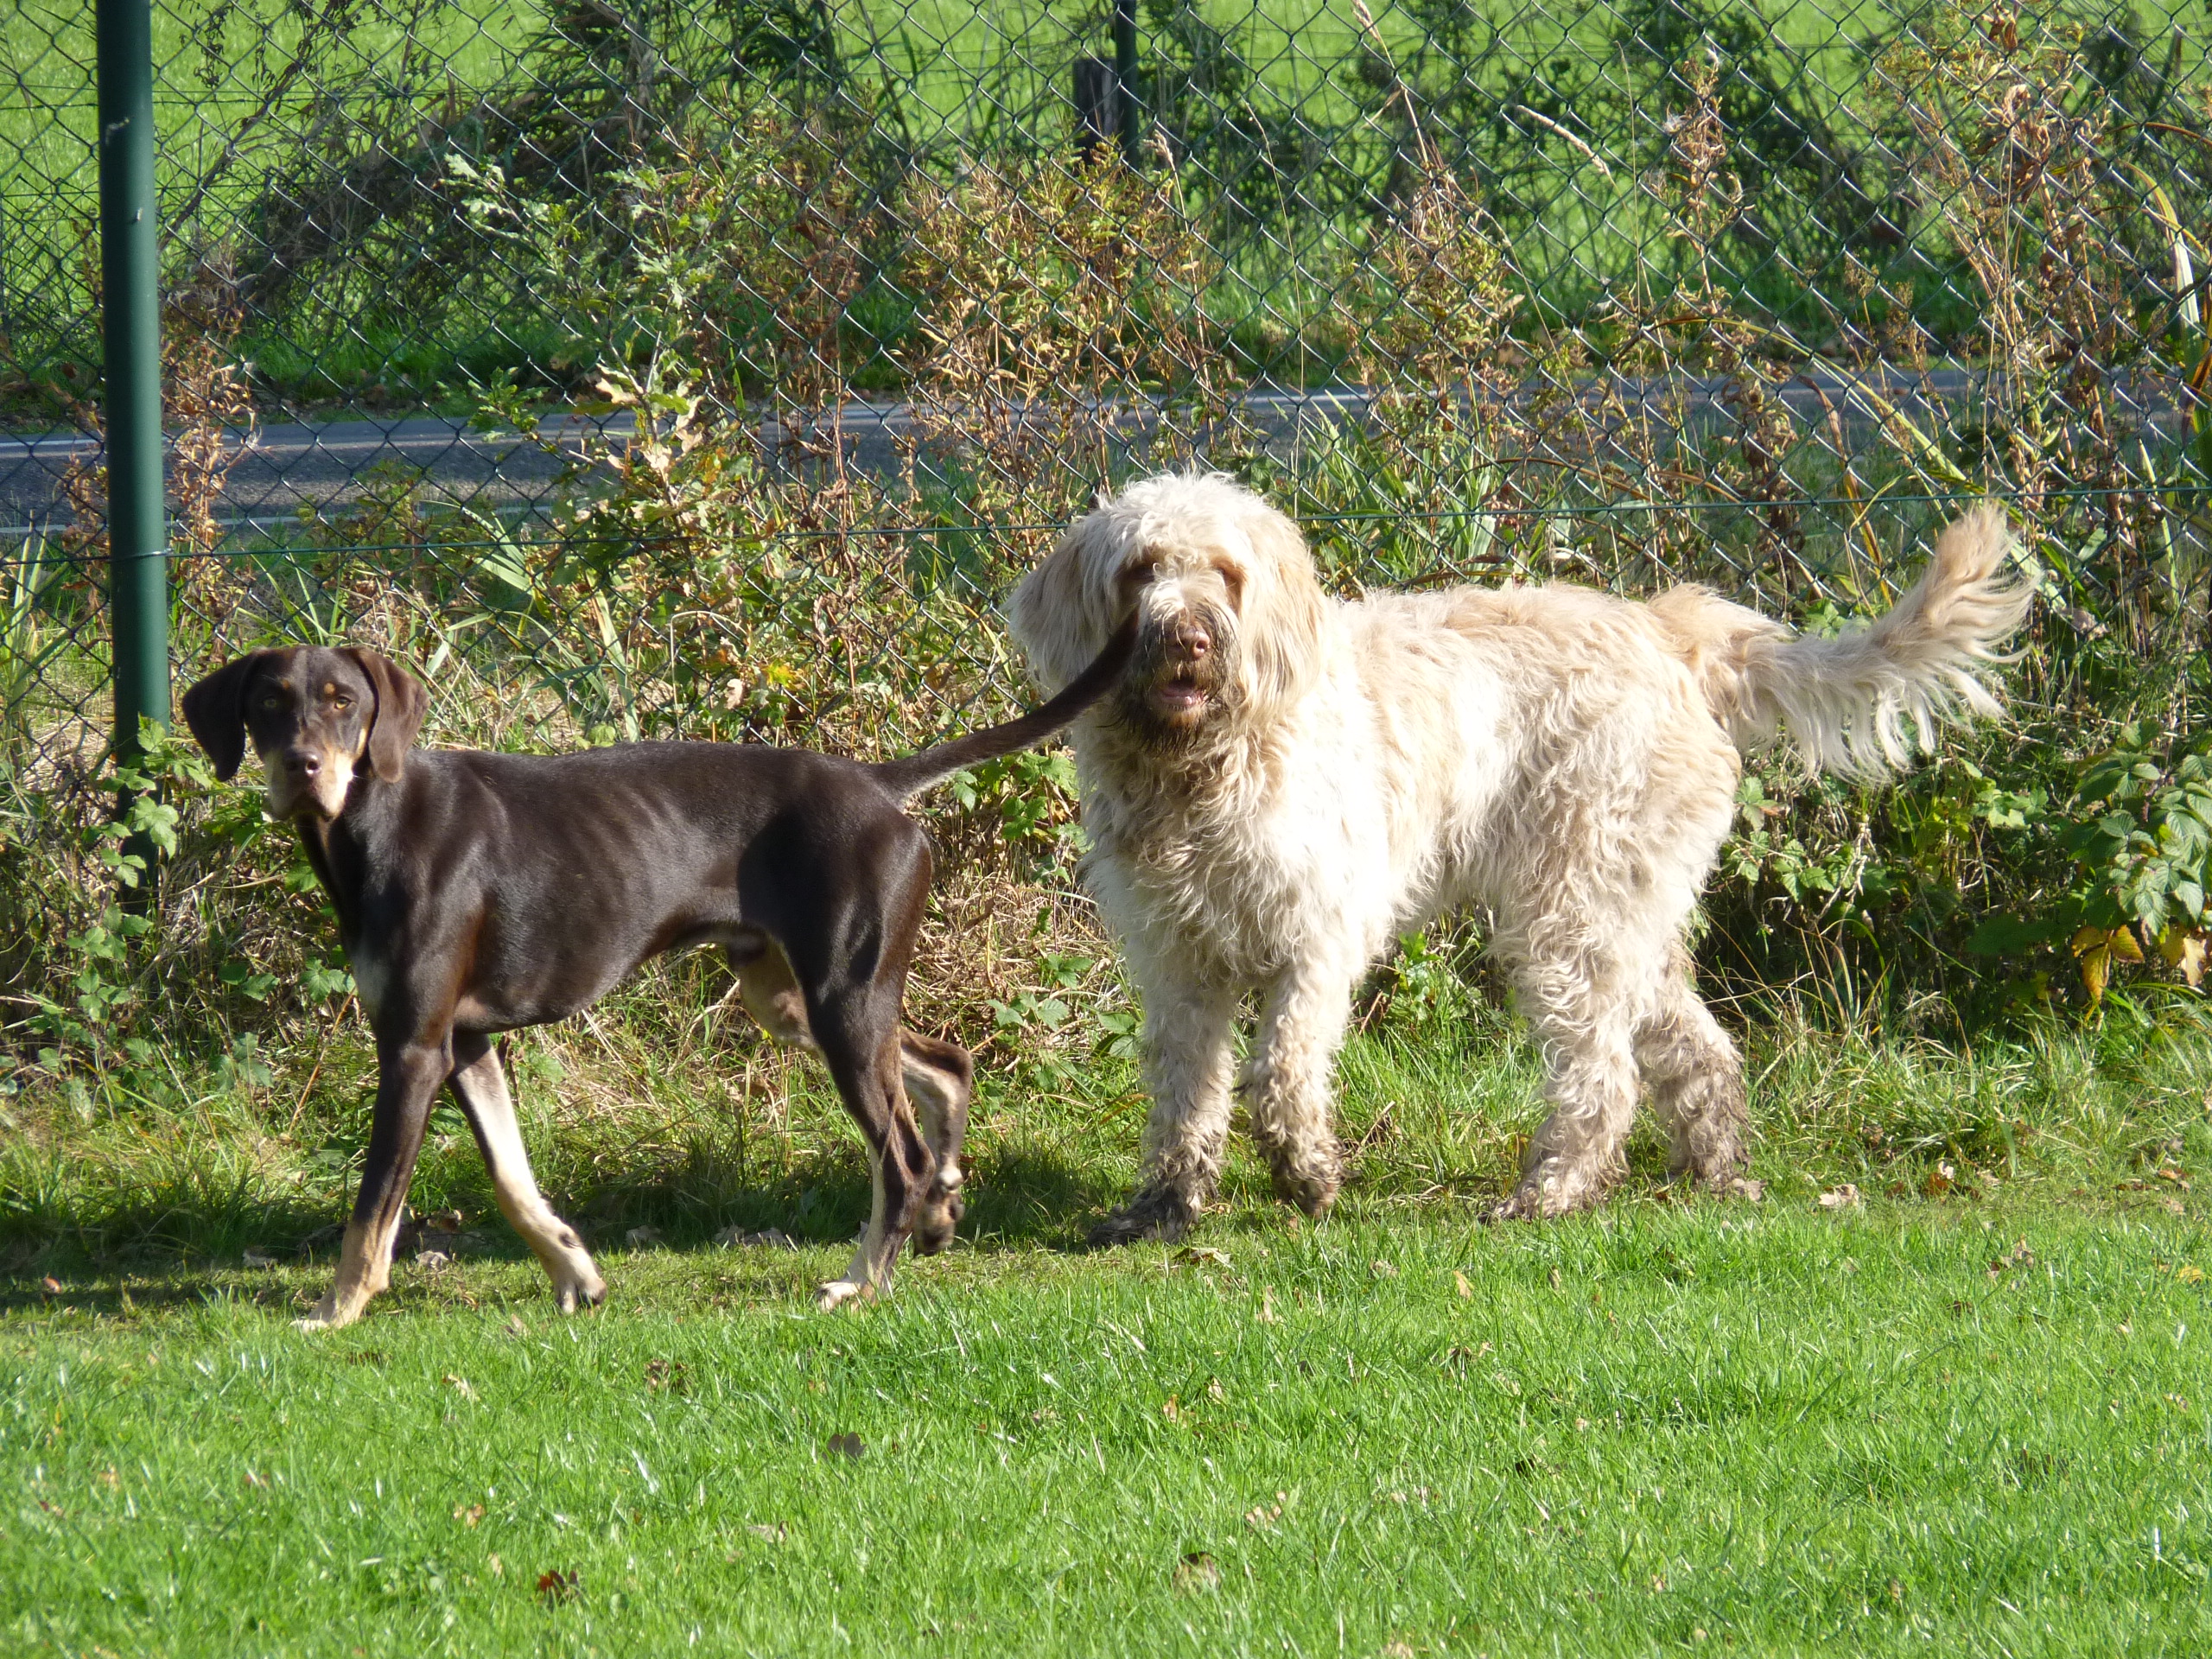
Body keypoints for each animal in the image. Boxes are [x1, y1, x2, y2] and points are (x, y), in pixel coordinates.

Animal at [181, 624, 1132, 1329]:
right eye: (269, 704)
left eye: (343, 703)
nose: (301, 768)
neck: (380, 822)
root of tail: (872, 783)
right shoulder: (466, 1044)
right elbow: (511, 1178)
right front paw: (575, 1273)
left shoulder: (412, 1048)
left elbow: (373, 1205)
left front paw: (336, 1311)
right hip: (799, 1001)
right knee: (946, 1069)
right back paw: (938, 1208)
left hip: (840, 1003)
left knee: (896, 1152)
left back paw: (861, 1281)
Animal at [1007, 473, 2030, 1242]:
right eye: (1142, 570)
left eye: (1225, 573)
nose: (1187, 637)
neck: (1205, 766)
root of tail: (1669, 635)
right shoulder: (1176, 961)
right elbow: (1186, 1088)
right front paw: (1164, 1205)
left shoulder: (1319, 941)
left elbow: (1280, 1070)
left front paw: (1306, 1175)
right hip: (1626, 914)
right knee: (1694, 1047)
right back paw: (1714, 1171)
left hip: (1567, 914)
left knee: (1603, 1074)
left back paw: (1552, 1192)